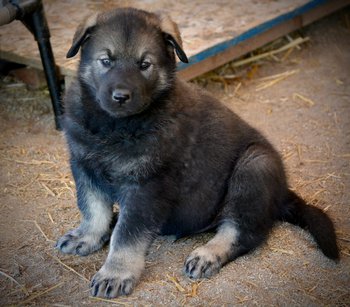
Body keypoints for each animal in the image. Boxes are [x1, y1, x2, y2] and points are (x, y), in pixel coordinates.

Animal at [55, 8, 340, 300]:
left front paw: (115, 272)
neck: (114, 126)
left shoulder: (146, 187)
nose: (121, 96)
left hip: (255, 165)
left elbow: (127, 235)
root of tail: (283, 193)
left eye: (144, 65)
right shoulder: (83, 166)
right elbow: (93, 209)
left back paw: (208, 254)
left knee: (245, 231)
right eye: (106, 61)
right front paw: (87, 236)